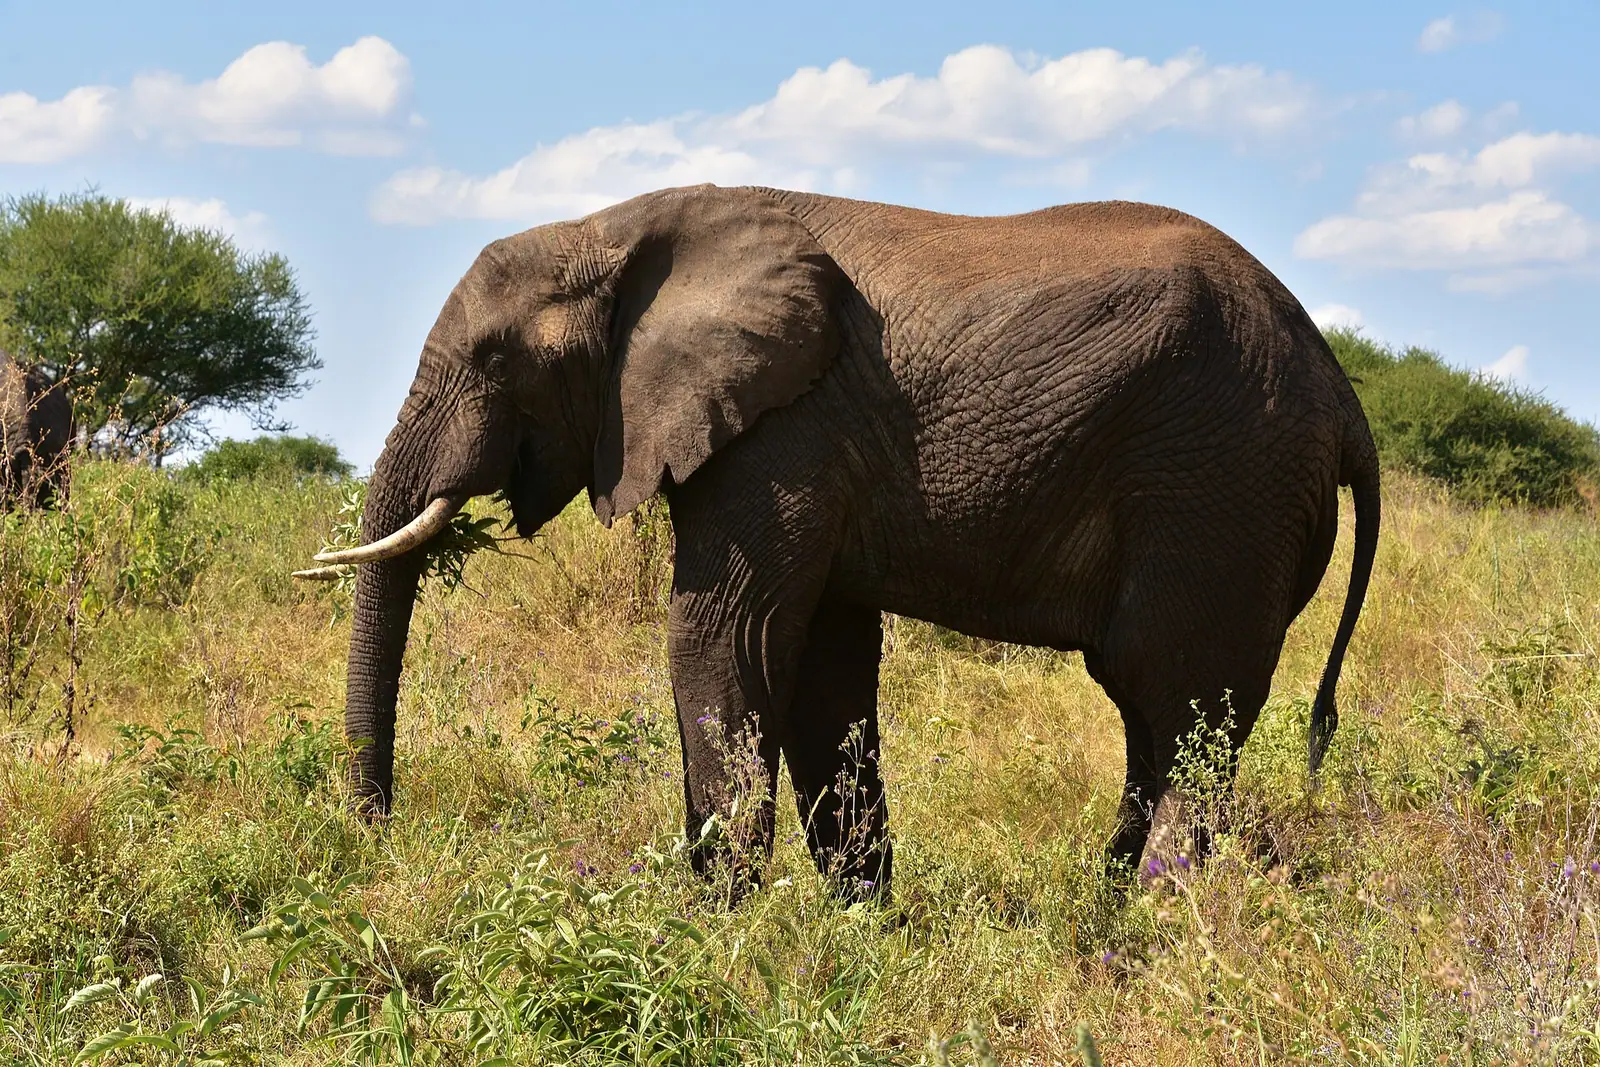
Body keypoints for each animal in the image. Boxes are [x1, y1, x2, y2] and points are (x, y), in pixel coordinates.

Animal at [296, 184, 1380, 898]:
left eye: (493, 358)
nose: (379, 838)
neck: (617, 228)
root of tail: (1340, 391)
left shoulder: (782, 432)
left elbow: (723, 636)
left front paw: (711, 923)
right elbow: (822, 669)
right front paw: (864, 919)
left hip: (1220, 485)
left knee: (1184, 706)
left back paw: (1156, 916)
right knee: (1155, 716)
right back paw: (1109, 909)